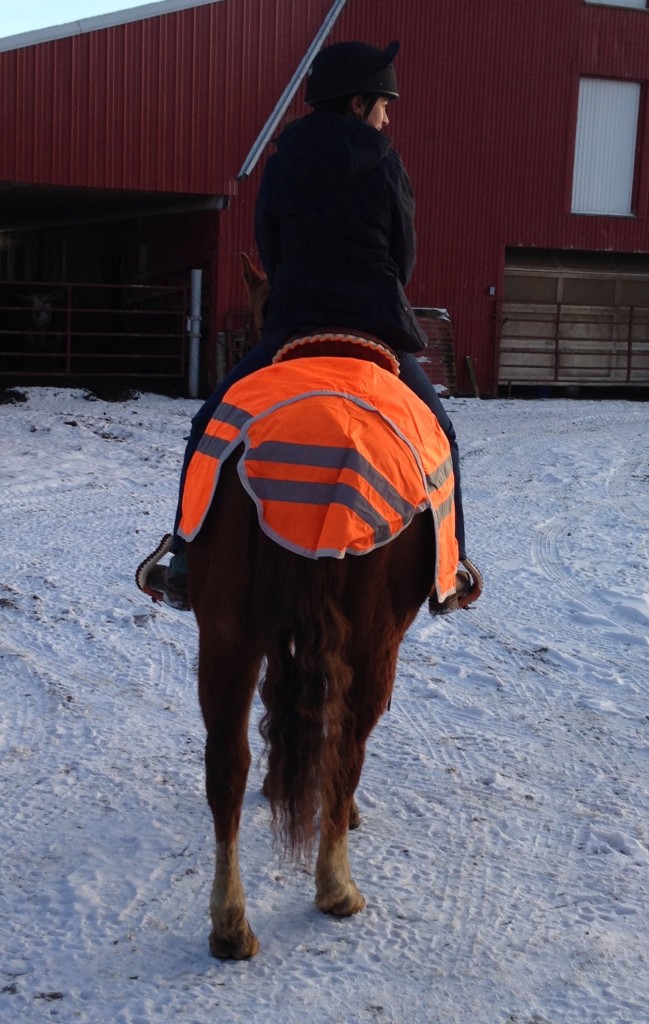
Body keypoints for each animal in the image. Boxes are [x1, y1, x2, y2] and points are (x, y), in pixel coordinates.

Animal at [185, 256, 449, 959]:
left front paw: (280, 787)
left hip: (225, 630)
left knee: (227, 761)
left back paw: (230, 923)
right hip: (376, 636)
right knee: (351, 740)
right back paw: (336, 886)